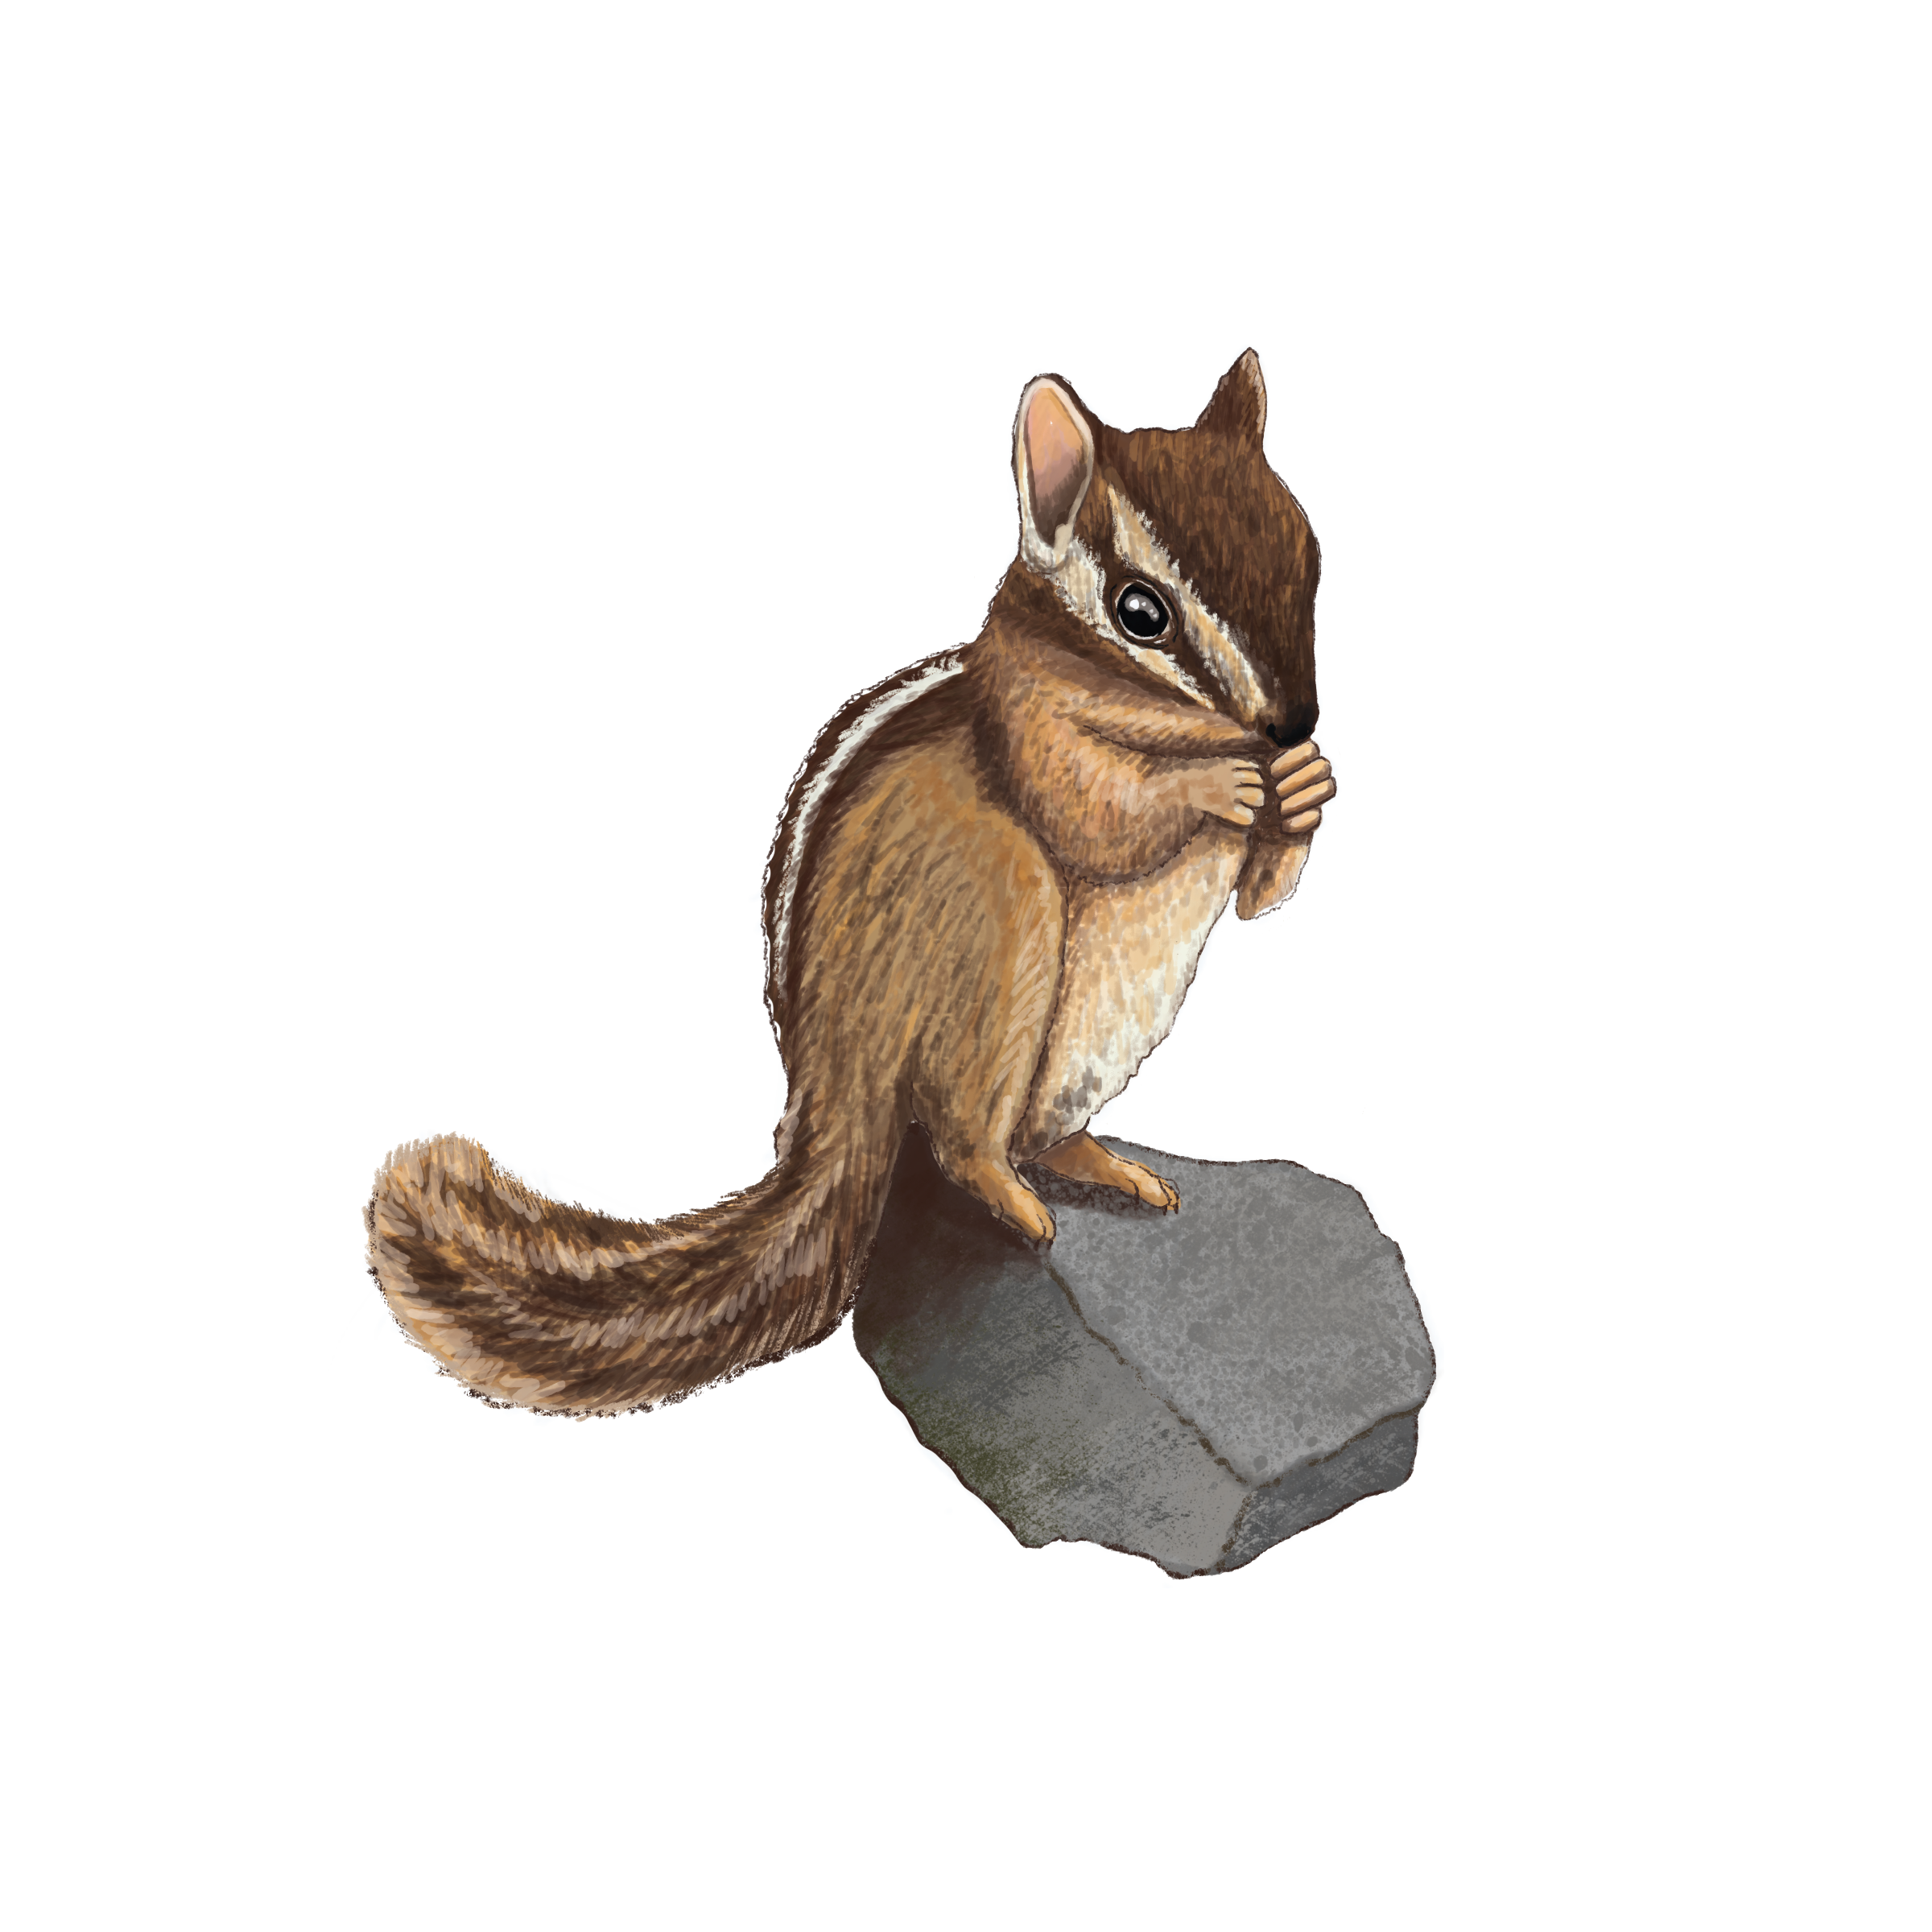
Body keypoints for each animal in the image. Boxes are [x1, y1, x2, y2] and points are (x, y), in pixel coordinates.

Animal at [361, 348, 1336, 1425]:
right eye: (1140, 613)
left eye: (1305, 551)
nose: (1294, 723)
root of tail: (831, 1091)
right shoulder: (1035, 729)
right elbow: (1096, 816)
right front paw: (1222, 785)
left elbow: (1255, 900)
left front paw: (1304, 789)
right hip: (1001, 930)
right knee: (962, 1138)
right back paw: (1020, 1205)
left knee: (1040, 1136)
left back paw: (1110, 1169)